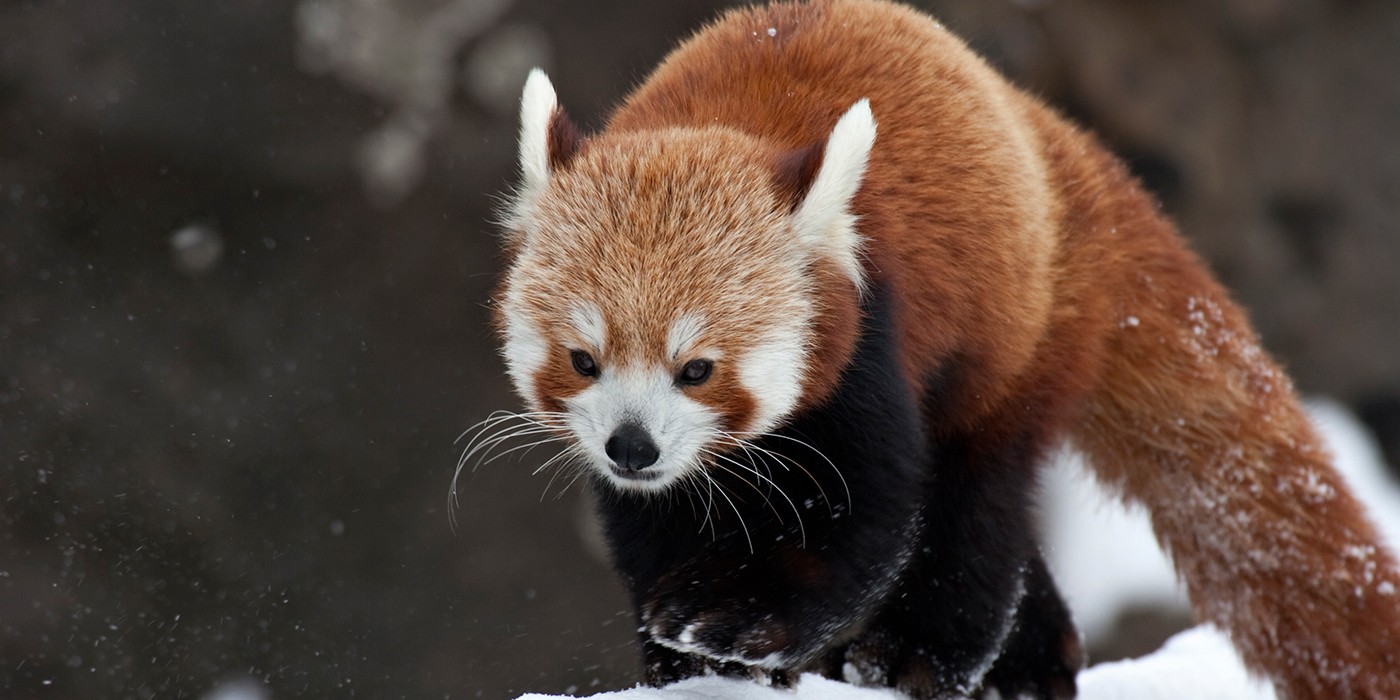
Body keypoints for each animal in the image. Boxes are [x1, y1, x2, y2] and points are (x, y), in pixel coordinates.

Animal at [484, 1, 1400, 700]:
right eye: (584, 360)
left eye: (697, 369)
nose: (632, 447)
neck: (720, 127)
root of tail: (1050, 139)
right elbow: (651, 530)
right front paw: (678, 650)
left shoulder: (871, 344)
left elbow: (872, 513)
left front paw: (749, 622)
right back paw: (1035, 660)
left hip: (1018, 342)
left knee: (977, 507)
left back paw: (924, 654)